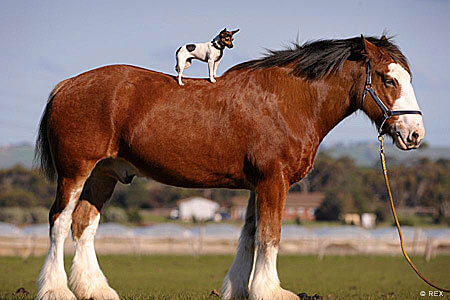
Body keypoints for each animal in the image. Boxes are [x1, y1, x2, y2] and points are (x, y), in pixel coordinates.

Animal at [35, 35, 426, 300]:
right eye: (388, 79)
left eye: (408, 78)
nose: (415, 134)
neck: (288, 101)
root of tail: (66, 86)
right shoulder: (273, 181)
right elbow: (269, 236)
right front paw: (270, 290)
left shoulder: (258, 185)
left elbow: (250, 235)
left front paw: (242, 288)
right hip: (75, 172)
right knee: (59, 222)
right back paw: (56, 289)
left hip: (104, 174)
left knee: (84, 225)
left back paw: (95, 289)